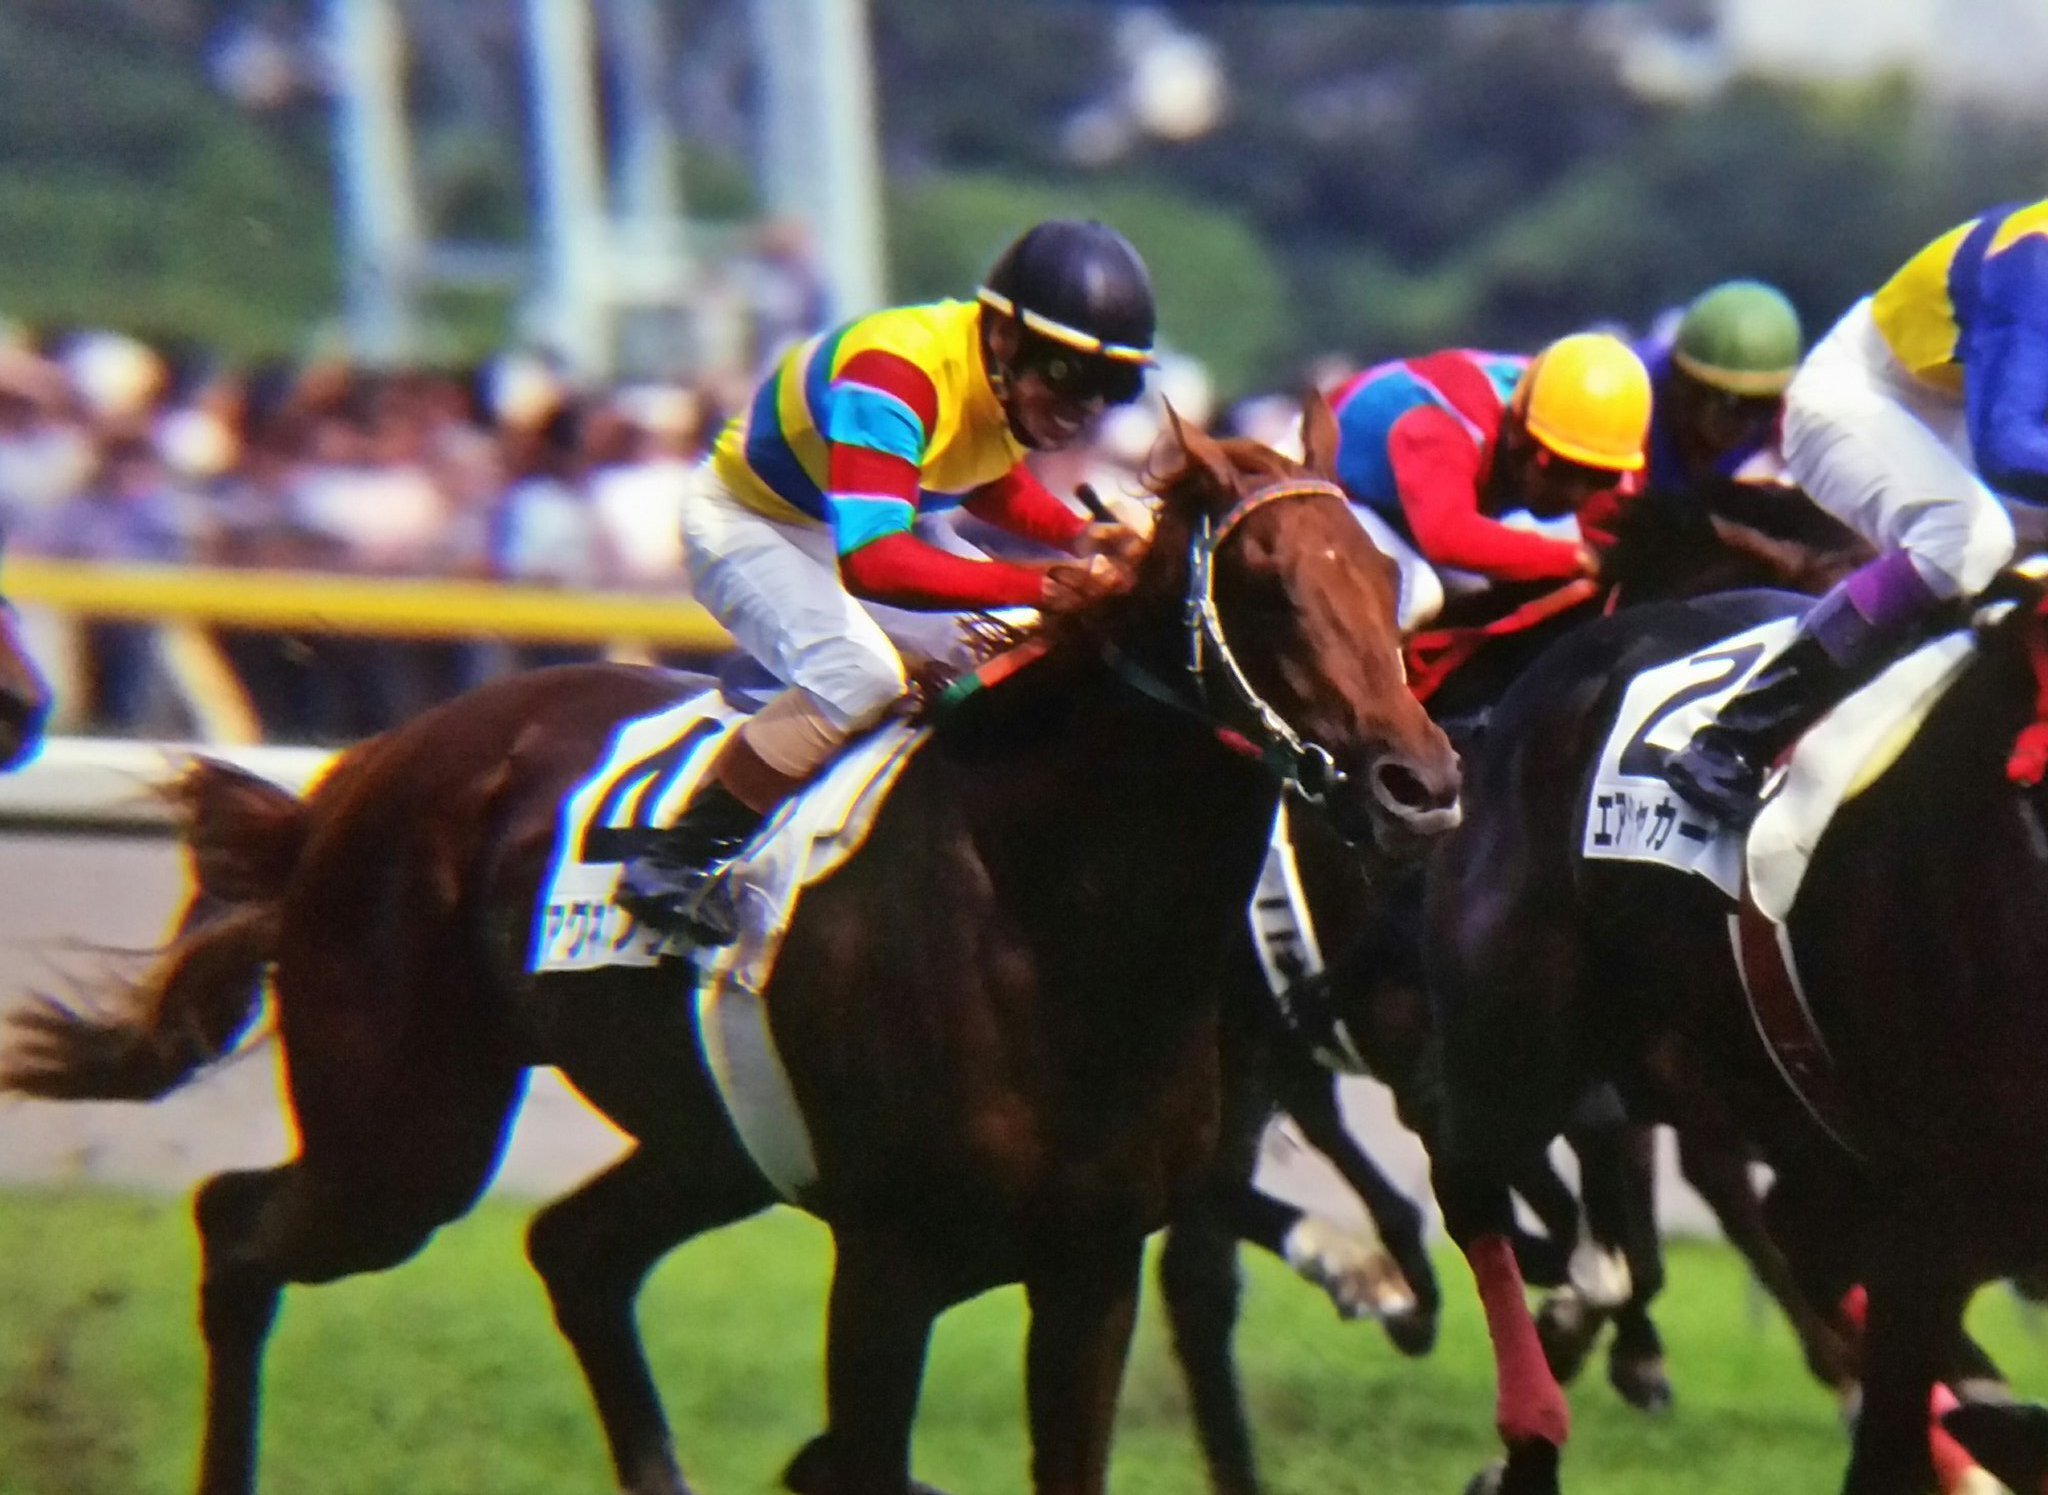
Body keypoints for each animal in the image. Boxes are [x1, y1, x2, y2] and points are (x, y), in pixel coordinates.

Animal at [0, 399, 1463, 1495]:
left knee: (576, 1251)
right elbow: (859, 1455)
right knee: (241, 1228)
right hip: (404, 1135)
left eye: (1394, 586)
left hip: (704, 1140)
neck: (1049, 915)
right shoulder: (885, 1264)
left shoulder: (1090, 1262)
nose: (1420, 785)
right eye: (1268, 586)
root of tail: (353, 779)